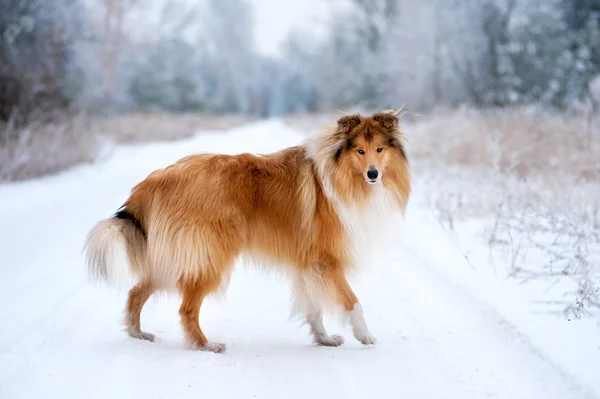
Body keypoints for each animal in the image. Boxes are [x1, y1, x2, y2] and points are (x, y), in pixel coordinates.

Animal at [84, 109, 410, 354]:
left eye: (380, 149)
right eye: (360, 150)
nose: (373, 174)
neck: (341, 175)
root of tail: (157, 180)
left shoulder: (308, 263)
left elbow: (314, 307)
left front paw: (324, 338)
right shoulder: (326, 261)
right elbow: (352, 301)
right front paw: (365, 336)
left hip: (175, 256)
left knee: (137, 291)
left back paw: (137, 333)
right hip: (209, 257)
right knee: (186, 309)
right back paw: (205, 345)